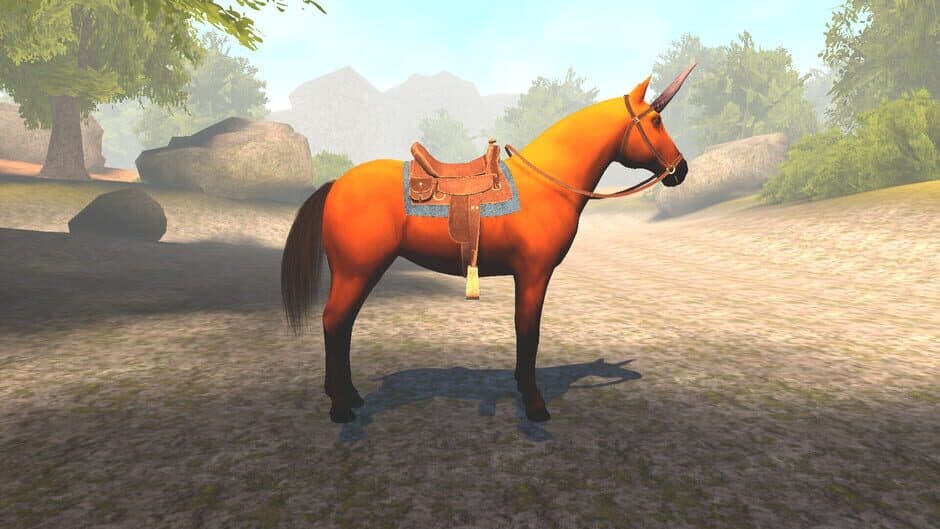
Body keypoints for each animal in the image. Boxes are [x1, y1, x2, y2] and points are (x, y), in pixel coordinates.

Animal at [281, 65, 696, 424]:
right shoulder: (533, 274)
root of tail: (336, 184)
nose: (681, 169)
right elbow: (528, 331)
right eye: (655, 121)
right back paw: (340, 408)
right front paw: (534, 403)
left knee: (343, 325)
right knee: (335, 322)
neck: (546, 183)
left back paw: (350, 396)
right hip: (356, 271)